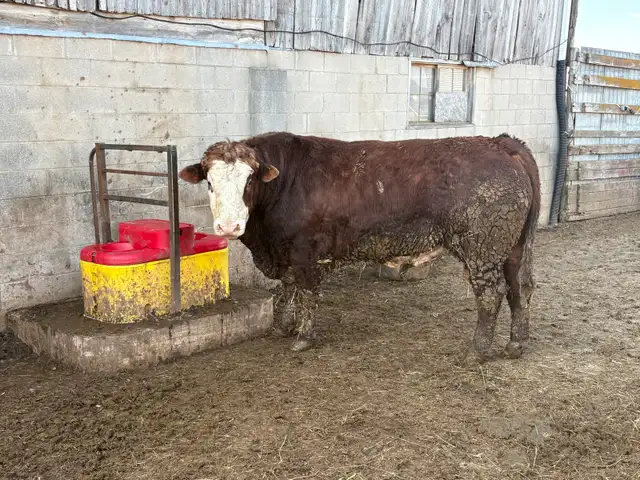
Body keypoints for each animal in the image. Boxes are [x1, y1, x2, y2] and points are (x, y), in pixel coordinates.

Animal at [179, 132, 541, 363]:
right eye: (209, 182)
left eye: (250, 179)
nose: (228, 227)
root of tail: (500, 143)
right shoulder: (285, 252)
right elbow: (287, 288)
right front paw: (283, 327)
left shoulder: (304, 251)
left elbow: (306, 293)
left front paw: (303, 337)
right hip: (513, 248)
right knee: (519, 287)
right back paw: (515, 345)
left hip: (482, 246)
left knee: (492, 294)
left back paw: (476, 351)